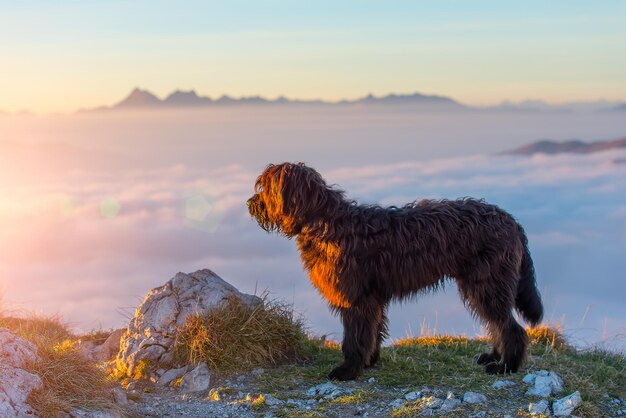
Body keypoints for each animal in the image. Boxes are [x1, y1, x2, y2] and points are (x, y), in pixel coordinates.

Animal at [246, 162, 540, 380]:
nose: (250, 204)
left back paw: (506, 366)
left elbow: (354, 337)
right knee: (498, 324)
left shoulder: (356, 298)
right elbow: (373, 332)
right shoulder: (373, 298)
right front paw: (369, 361)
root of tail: (511, 221)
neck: (324, 222)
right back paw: (493, 356)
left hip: (487, 283)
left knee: (511, 327)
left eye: (266, 188)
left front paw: (348, 370)